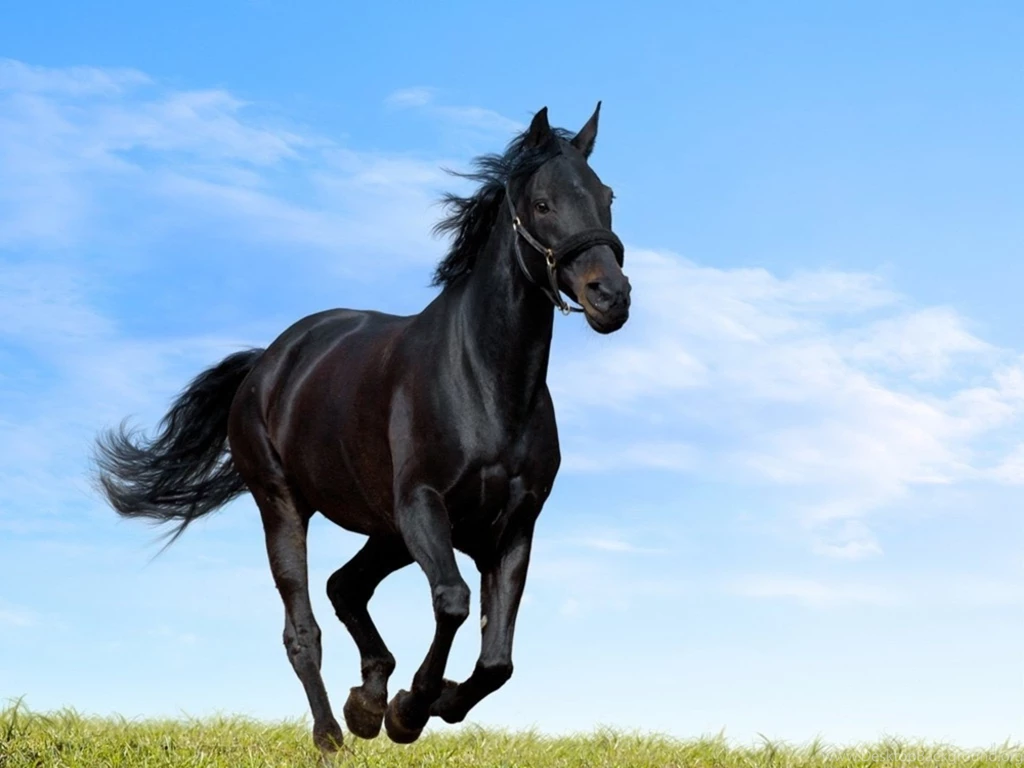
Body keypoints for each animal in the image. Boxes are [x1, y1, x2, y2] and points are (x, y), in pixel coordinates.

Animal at [92, 103, 631, 753]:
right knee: (303, 628)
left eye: (607, 196)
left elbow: (497, 660)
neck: (484, 383)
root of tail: (269, 362)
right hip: (285, 506)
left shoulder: (513, 527)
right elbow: (453, 602)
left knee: (344, 587)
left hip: (386, 530)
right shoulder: (423, 505)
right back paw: (333, 732)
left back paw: (366, 700)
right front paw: (410, 710)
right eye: (544, 203)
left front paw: (421, 703)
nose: (612, 296)